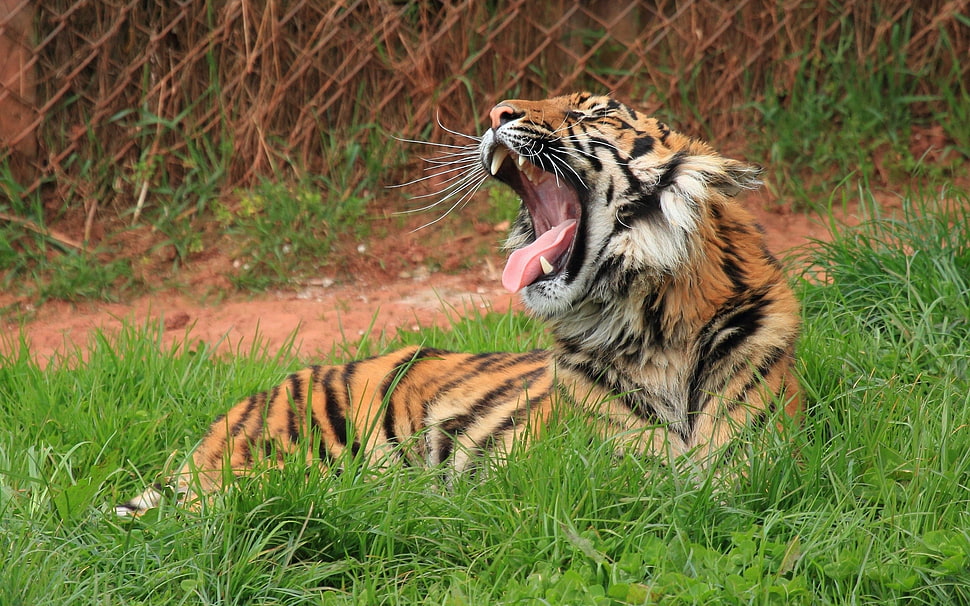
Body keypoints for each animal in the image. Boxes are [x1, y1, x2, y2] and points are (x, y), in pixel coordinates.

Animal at [115, 93, 800, 516]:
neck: (653, 323)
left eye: (591, 110)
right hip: (283, 469)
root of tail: (234, 414)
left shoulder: (755, 464)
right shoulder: (609, 475)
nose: (497, 110)